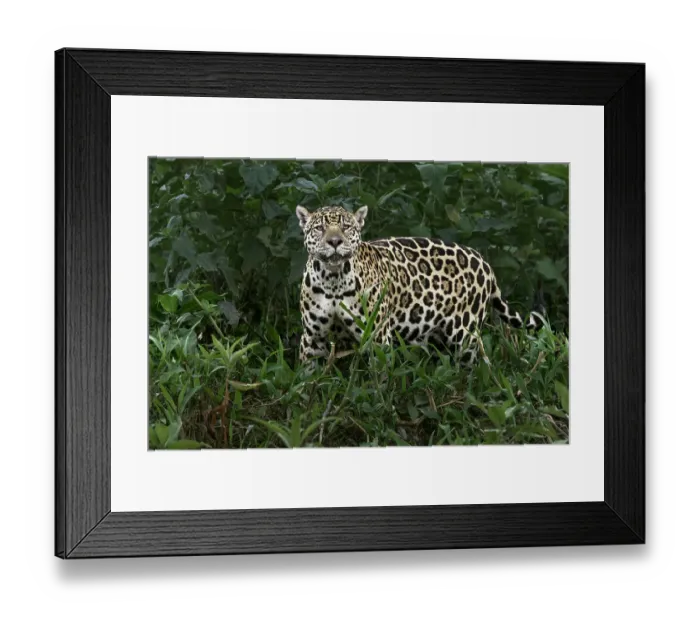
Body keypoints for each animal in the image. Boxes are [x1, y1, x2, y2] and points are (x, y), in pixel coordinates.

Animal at [295, 204, 544, 365]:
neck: (333, 280)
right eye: (319, 228)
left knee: (480, 364)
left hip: (464, 335)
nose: (335, 242)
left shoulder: (377, 338)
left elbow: (378, 382)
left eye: (346, 227)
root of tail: (484, 262)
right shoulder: (312, 339)